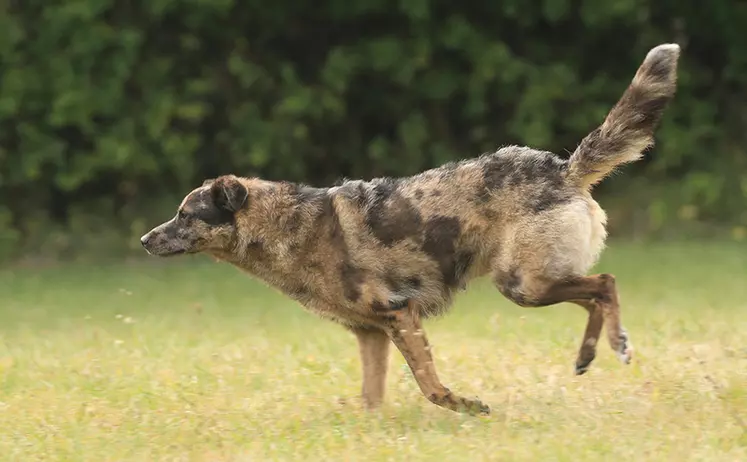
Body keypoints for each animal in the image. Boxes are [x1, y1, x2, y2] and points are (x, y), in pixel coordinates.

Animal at [142, 45, 684, 416]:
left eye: (186, 214)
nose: (145, 240)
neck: (288, 225)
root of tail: (563, 168)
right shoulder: (371, 334)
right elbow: (371, 396)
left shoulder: (398, 315)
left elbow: (429, 386)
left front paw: (465, 406)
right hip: (534, 282)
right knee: (593, 295)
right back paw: (588, 355)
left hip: (521, 284)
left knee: (605, 284)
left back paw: (615, 344)